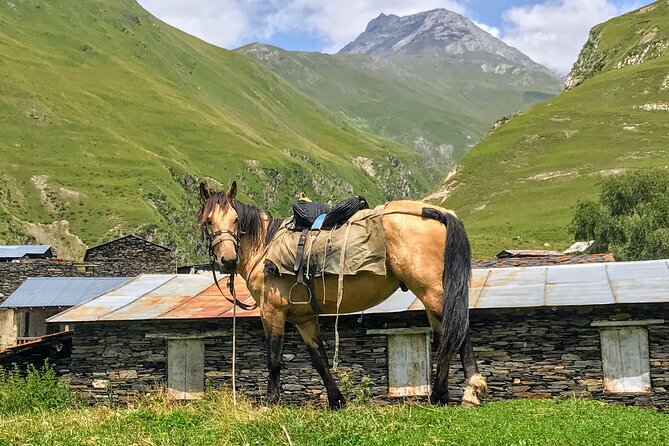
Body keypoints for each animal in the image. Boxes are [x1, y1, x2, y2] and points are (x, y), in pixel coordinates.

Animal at [197, 180, 486, 408]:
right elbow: (319, 359)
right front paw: (337, 400)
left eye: (236, 220)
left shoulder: (272, 312)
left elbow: (274, 358)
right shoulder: (303, 319)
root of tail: (437, 212)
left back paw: (468, 391)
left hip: (431, 292)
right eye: (208, 221)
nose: (228, 260)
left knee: (459, 331)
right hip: (431, 293)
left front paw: (270, 402)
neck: (265, 247)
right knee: (446, 336)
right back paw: (441, 396)